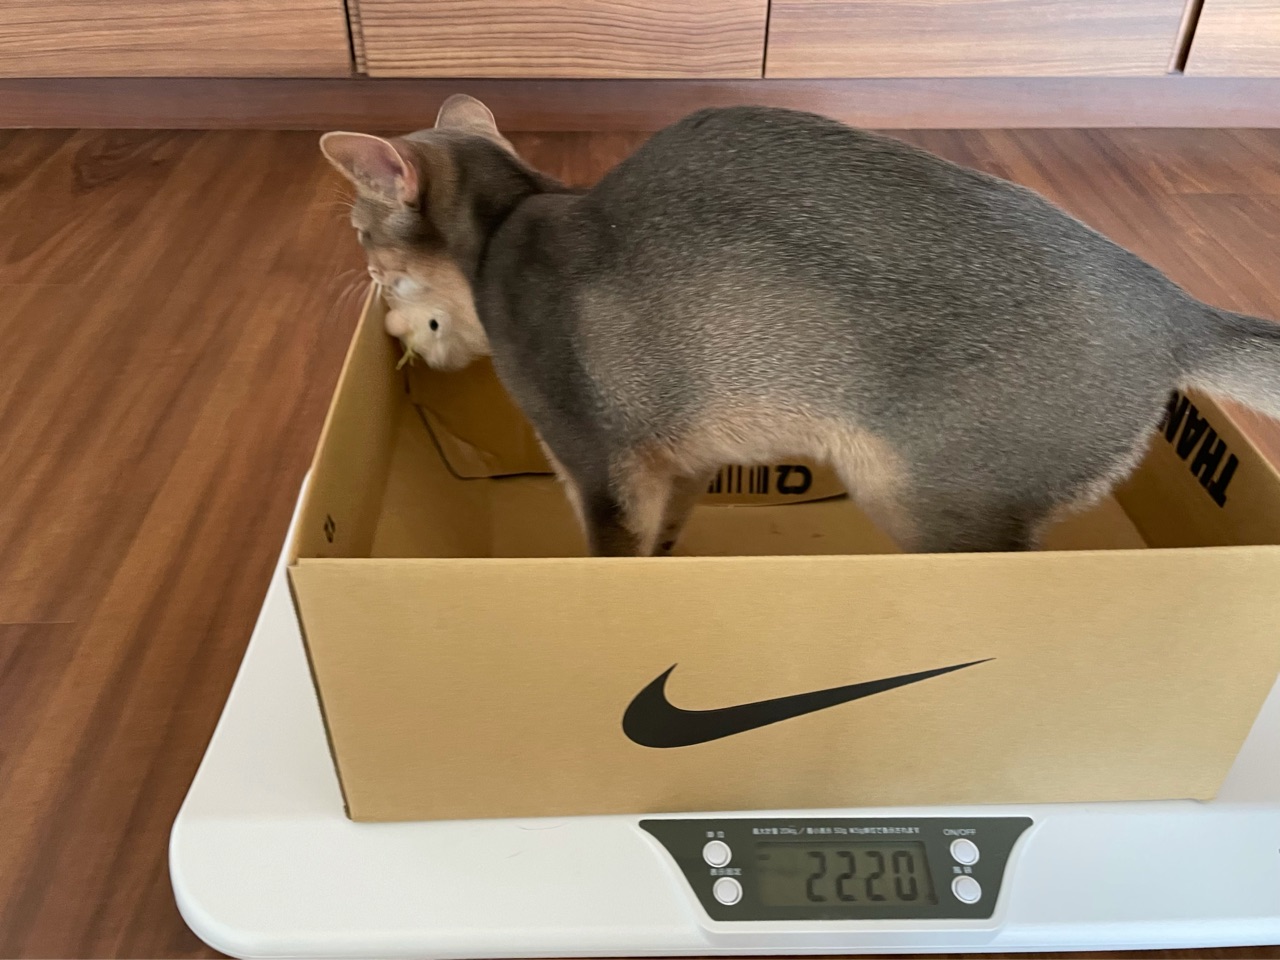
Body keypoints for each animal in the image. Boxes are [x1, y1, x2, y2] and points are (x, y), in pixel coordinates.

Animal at [321, 95, 1280, 557]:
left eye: (364, 239)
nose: (366, 287)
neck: (513, 222)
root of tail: (1176, 308)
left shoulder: (601, 469)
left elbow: (610, 555)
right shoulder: (677, 466)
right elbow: (663, 544)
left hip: (928, 500)